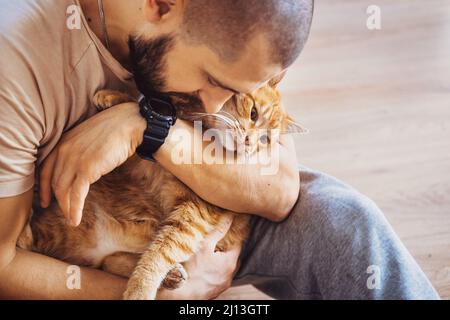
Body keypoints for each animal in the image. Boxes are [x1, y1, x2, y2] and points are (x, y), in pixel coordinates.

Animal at [17, 77, 306, 300]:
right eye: (254, 113)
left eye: (265, 140)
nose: (249, 142)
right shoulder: (138, 161)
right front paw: (114, 97)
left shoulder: (194, 214)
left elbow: (158, 255)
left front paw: (140, 290)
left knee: (111, 260)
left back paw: (172, 275)